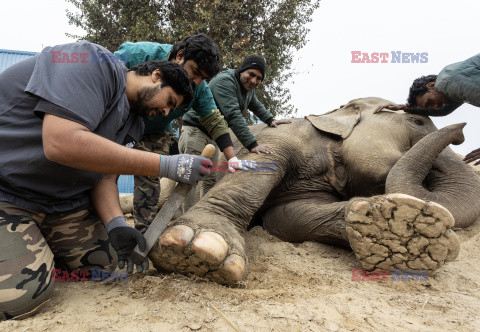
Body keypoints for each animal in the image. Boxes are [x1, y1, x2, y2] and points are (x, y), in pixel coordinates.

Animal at [148, 96, 480, 286]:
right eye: (417, 121)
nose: (462, 133)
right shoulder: (283, 135)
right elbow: (260, 168)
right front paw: (200, 249)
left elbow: (285, 218)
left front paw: (398, 228)